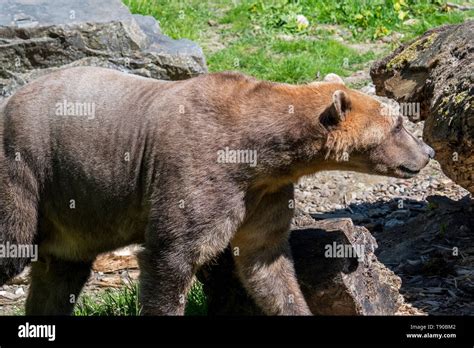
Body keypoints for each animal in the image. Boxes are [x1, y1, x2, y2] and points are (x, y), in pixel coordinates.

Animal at [0, 67, 434, 316]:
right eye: (398, 124)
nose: (427, 152)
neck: (262, 154)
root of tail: (12, 99)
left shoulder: (265, 194)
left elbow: (266, 263)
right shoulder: (199, 175)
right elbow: (173, 256)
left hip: (71, 212)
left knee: (59, 275)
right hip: (30, 170)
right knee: (14, 241)